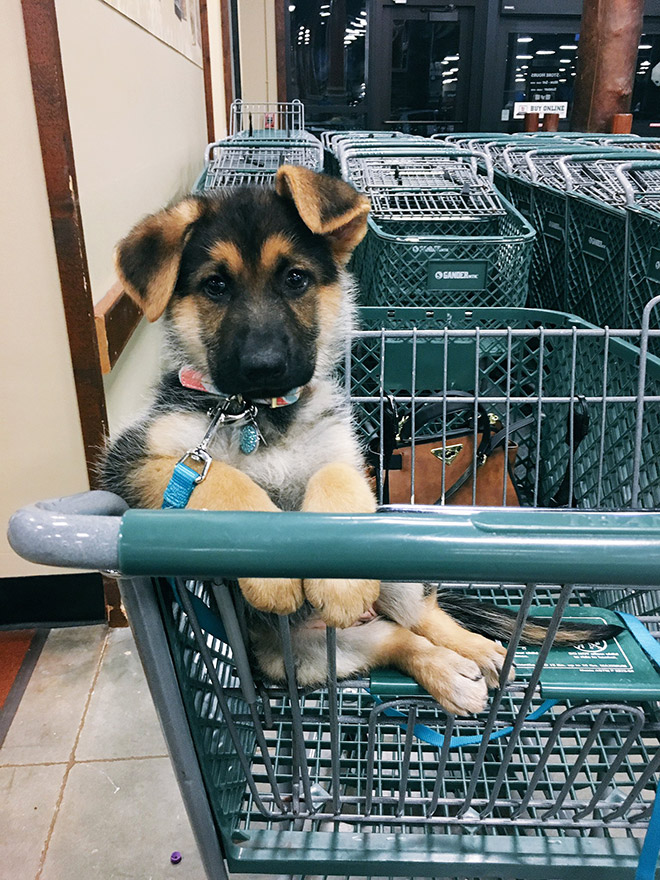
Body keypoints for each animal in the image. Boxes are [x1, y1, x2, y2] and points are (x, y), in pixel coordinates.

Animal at [100, 165, 620, 716]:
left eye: (296, 278)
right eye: (215, 286)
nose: (264, 367)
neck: (261, 415)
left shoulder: (347, 456)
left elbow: (334, 476)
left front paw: (340, 580)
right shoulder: (139, 460)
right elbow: (222, 478)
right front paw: (273, 571)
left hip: (391, 557)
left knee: (422, 612)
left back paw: (480, 651)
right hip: (310, 653)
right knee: (399, 638)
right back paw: (450, 671)